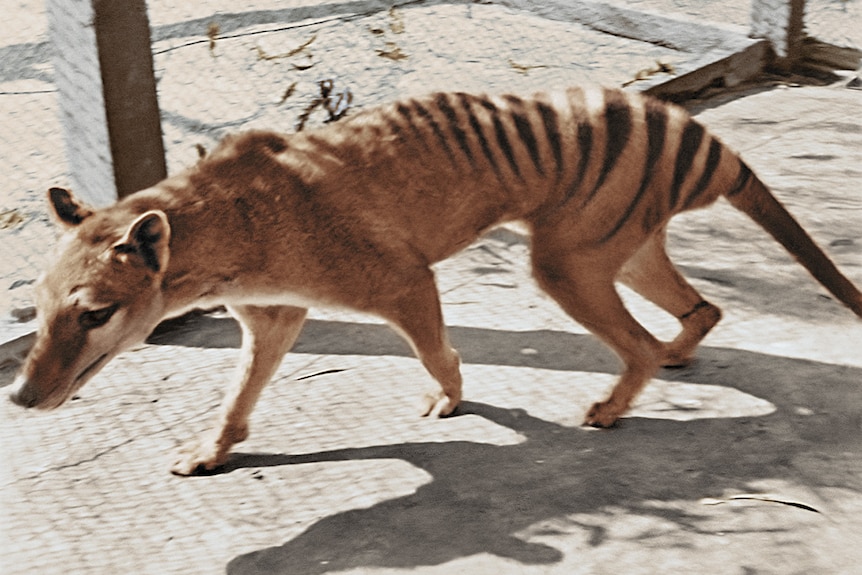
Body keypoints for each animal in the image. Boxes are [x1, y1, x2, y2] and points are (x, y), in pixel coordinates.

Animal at [8, 84, 862, 472]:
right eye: (40, 306)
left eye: (95, 313)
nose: (19, 395)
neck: (231, 220)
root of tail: (692, 131)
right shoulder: (275, 317)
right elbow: (238, 397)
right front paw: (213, 450)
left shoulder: (401, 281)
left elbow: (436, 350)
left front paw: (448, 399)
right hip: (618, 249)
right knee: (701, 311)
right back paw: (678, 353)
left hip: (564, 263)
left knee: (643, 343)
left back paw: (615, 402)